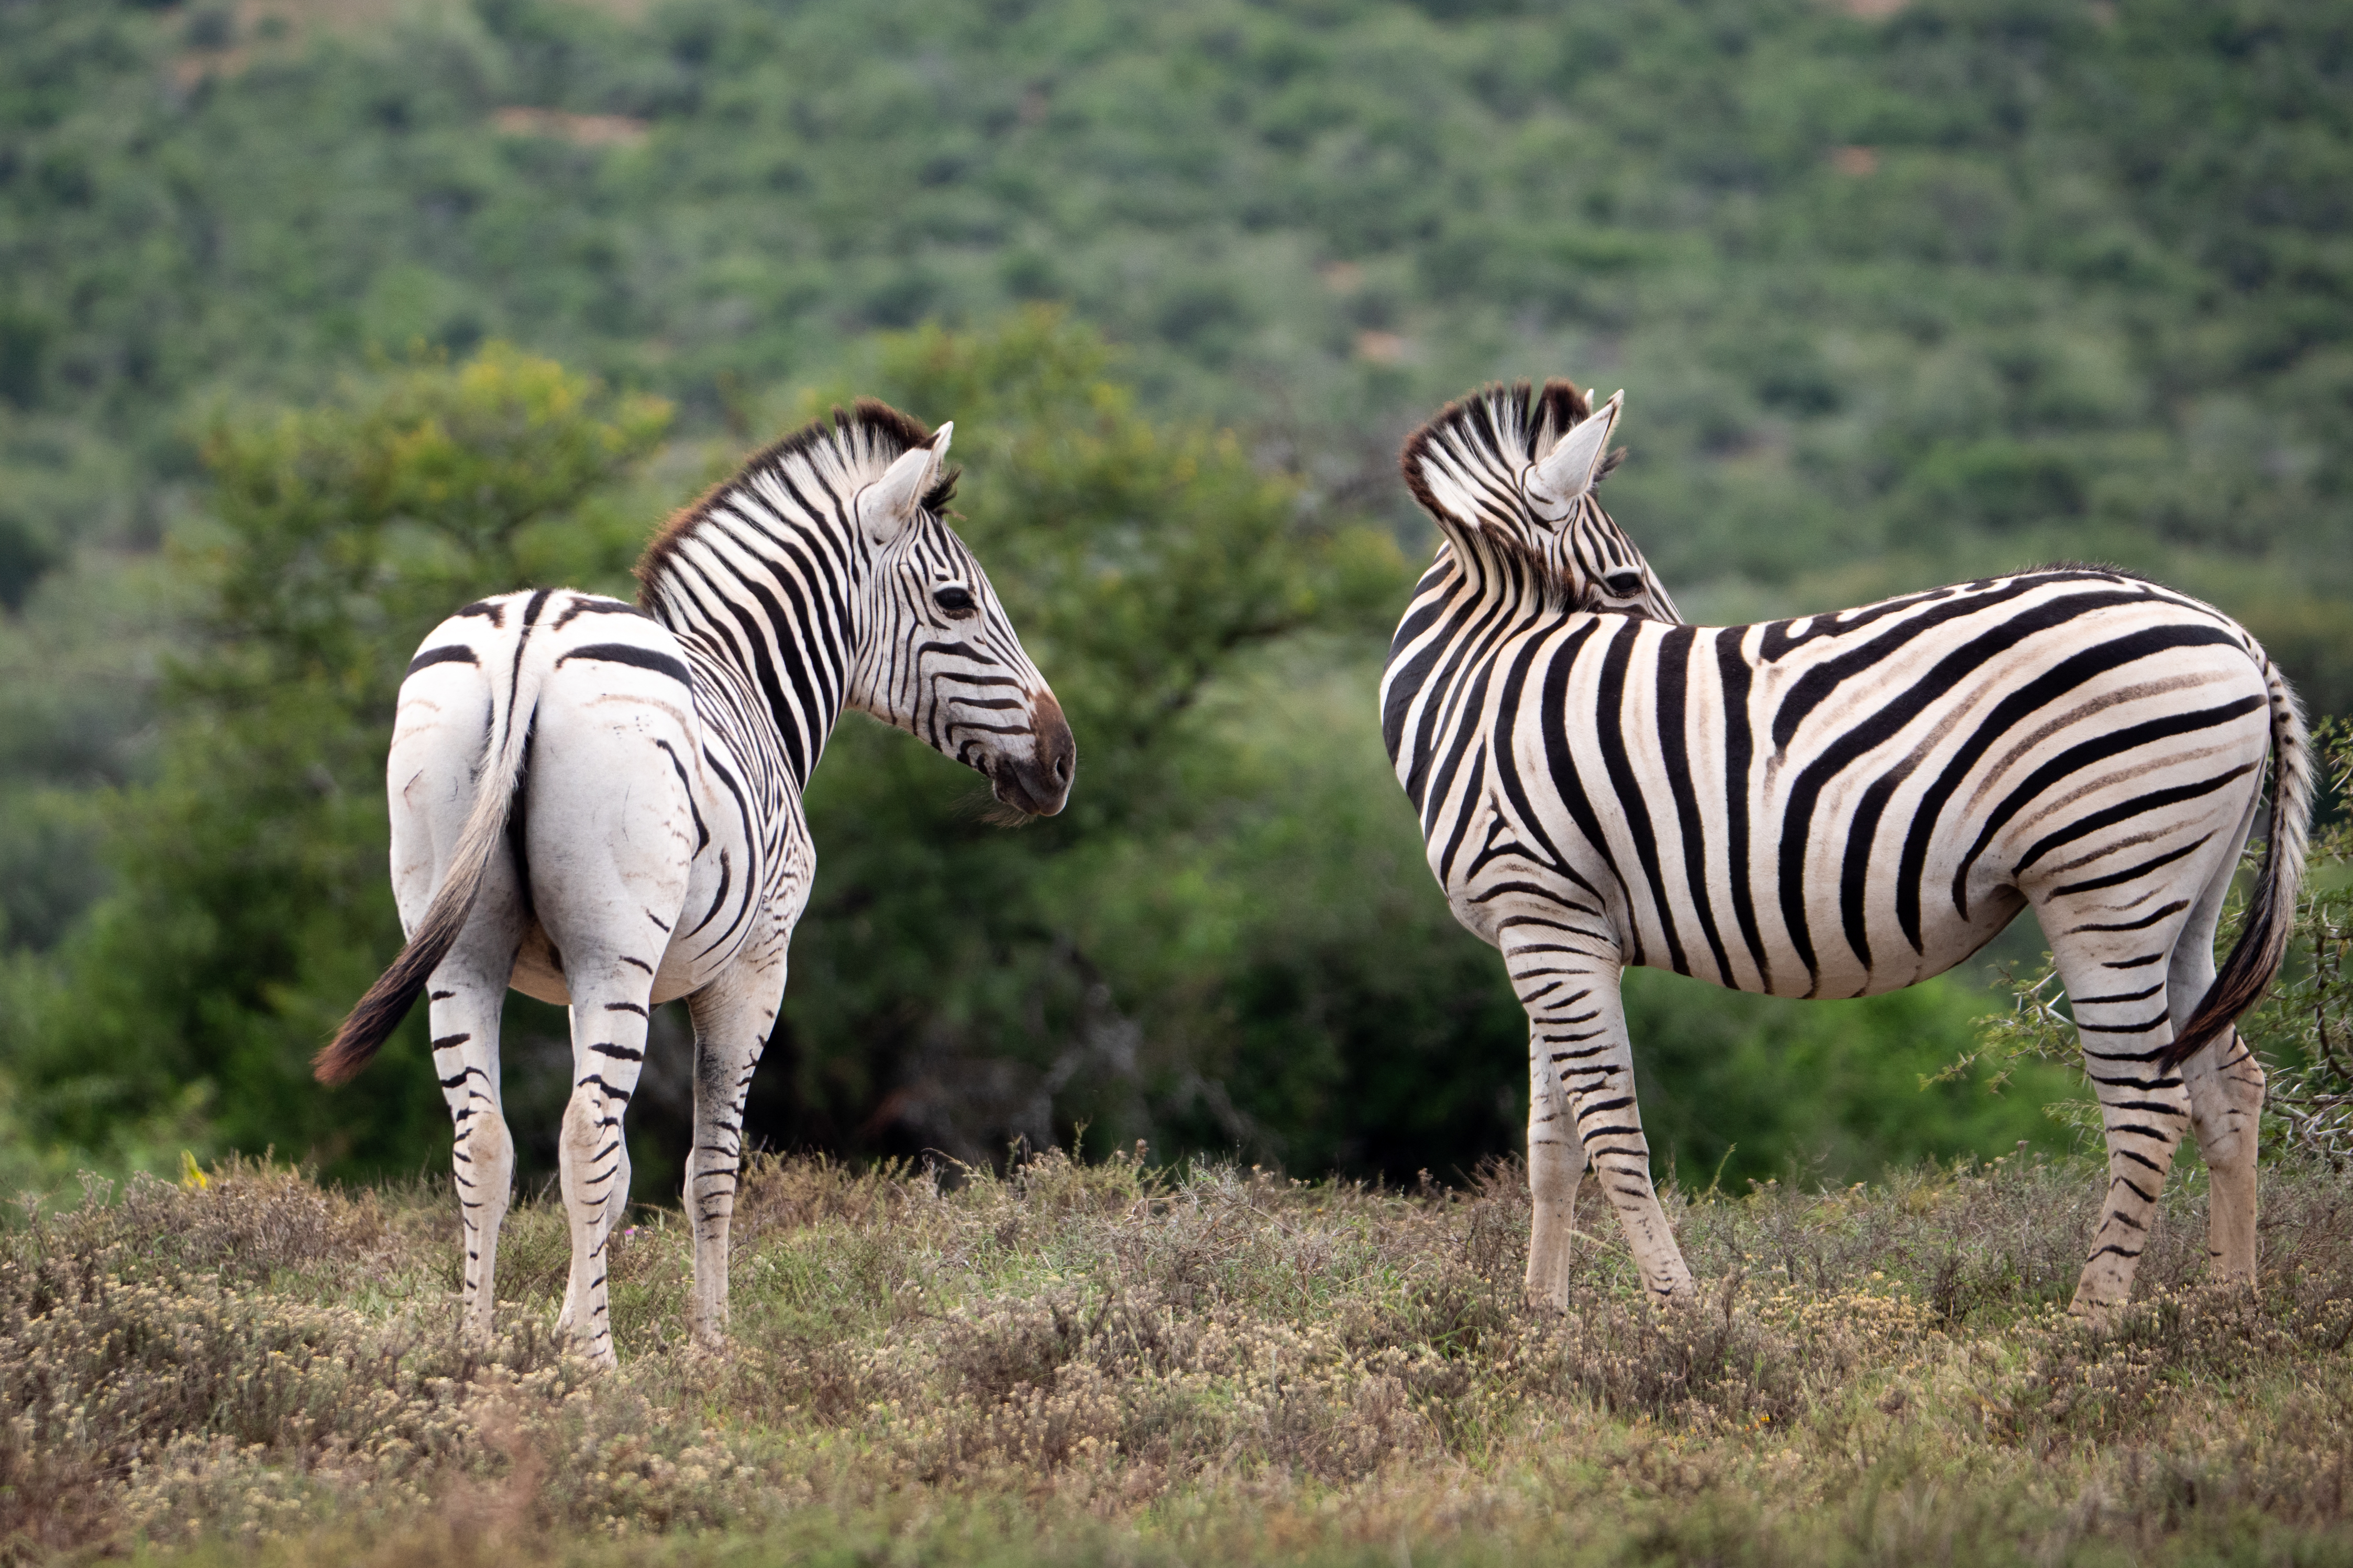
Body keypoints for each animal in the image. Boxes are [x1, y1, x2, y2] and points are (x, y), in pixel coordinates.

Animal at [316, 400, 1075, 1366]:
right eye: (956, 601)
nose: (1062, 760)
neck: (751, 681)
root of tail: (529, 630)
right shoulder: (753, 964)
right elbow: (710, 1167)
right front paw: (708, 1347)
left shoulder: (585, 979)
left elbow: (623, 1170)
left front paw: (565, 1323)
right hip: (614, 946)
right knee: (583, 1134)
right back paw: (601, 1370)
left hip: (462, 945)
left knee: (486, 1137)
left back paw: (476, 1352)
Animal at [1382, 379, 2312, 1322]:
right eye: (1621, 582)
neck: (1475, 687)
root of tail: (2234, 635)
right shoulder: (1543, 925)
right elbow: (1553, 1143)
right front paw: (1543, 1320)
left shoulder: (1547, 920)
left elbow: (1609, 1131)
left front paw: (1679, 1313)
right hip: (2180, 894)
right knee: (2228, 1086)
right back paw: (2229, 1308)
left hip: (2105, 881)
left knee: (2148, 1103)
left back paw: (2089, 1325)